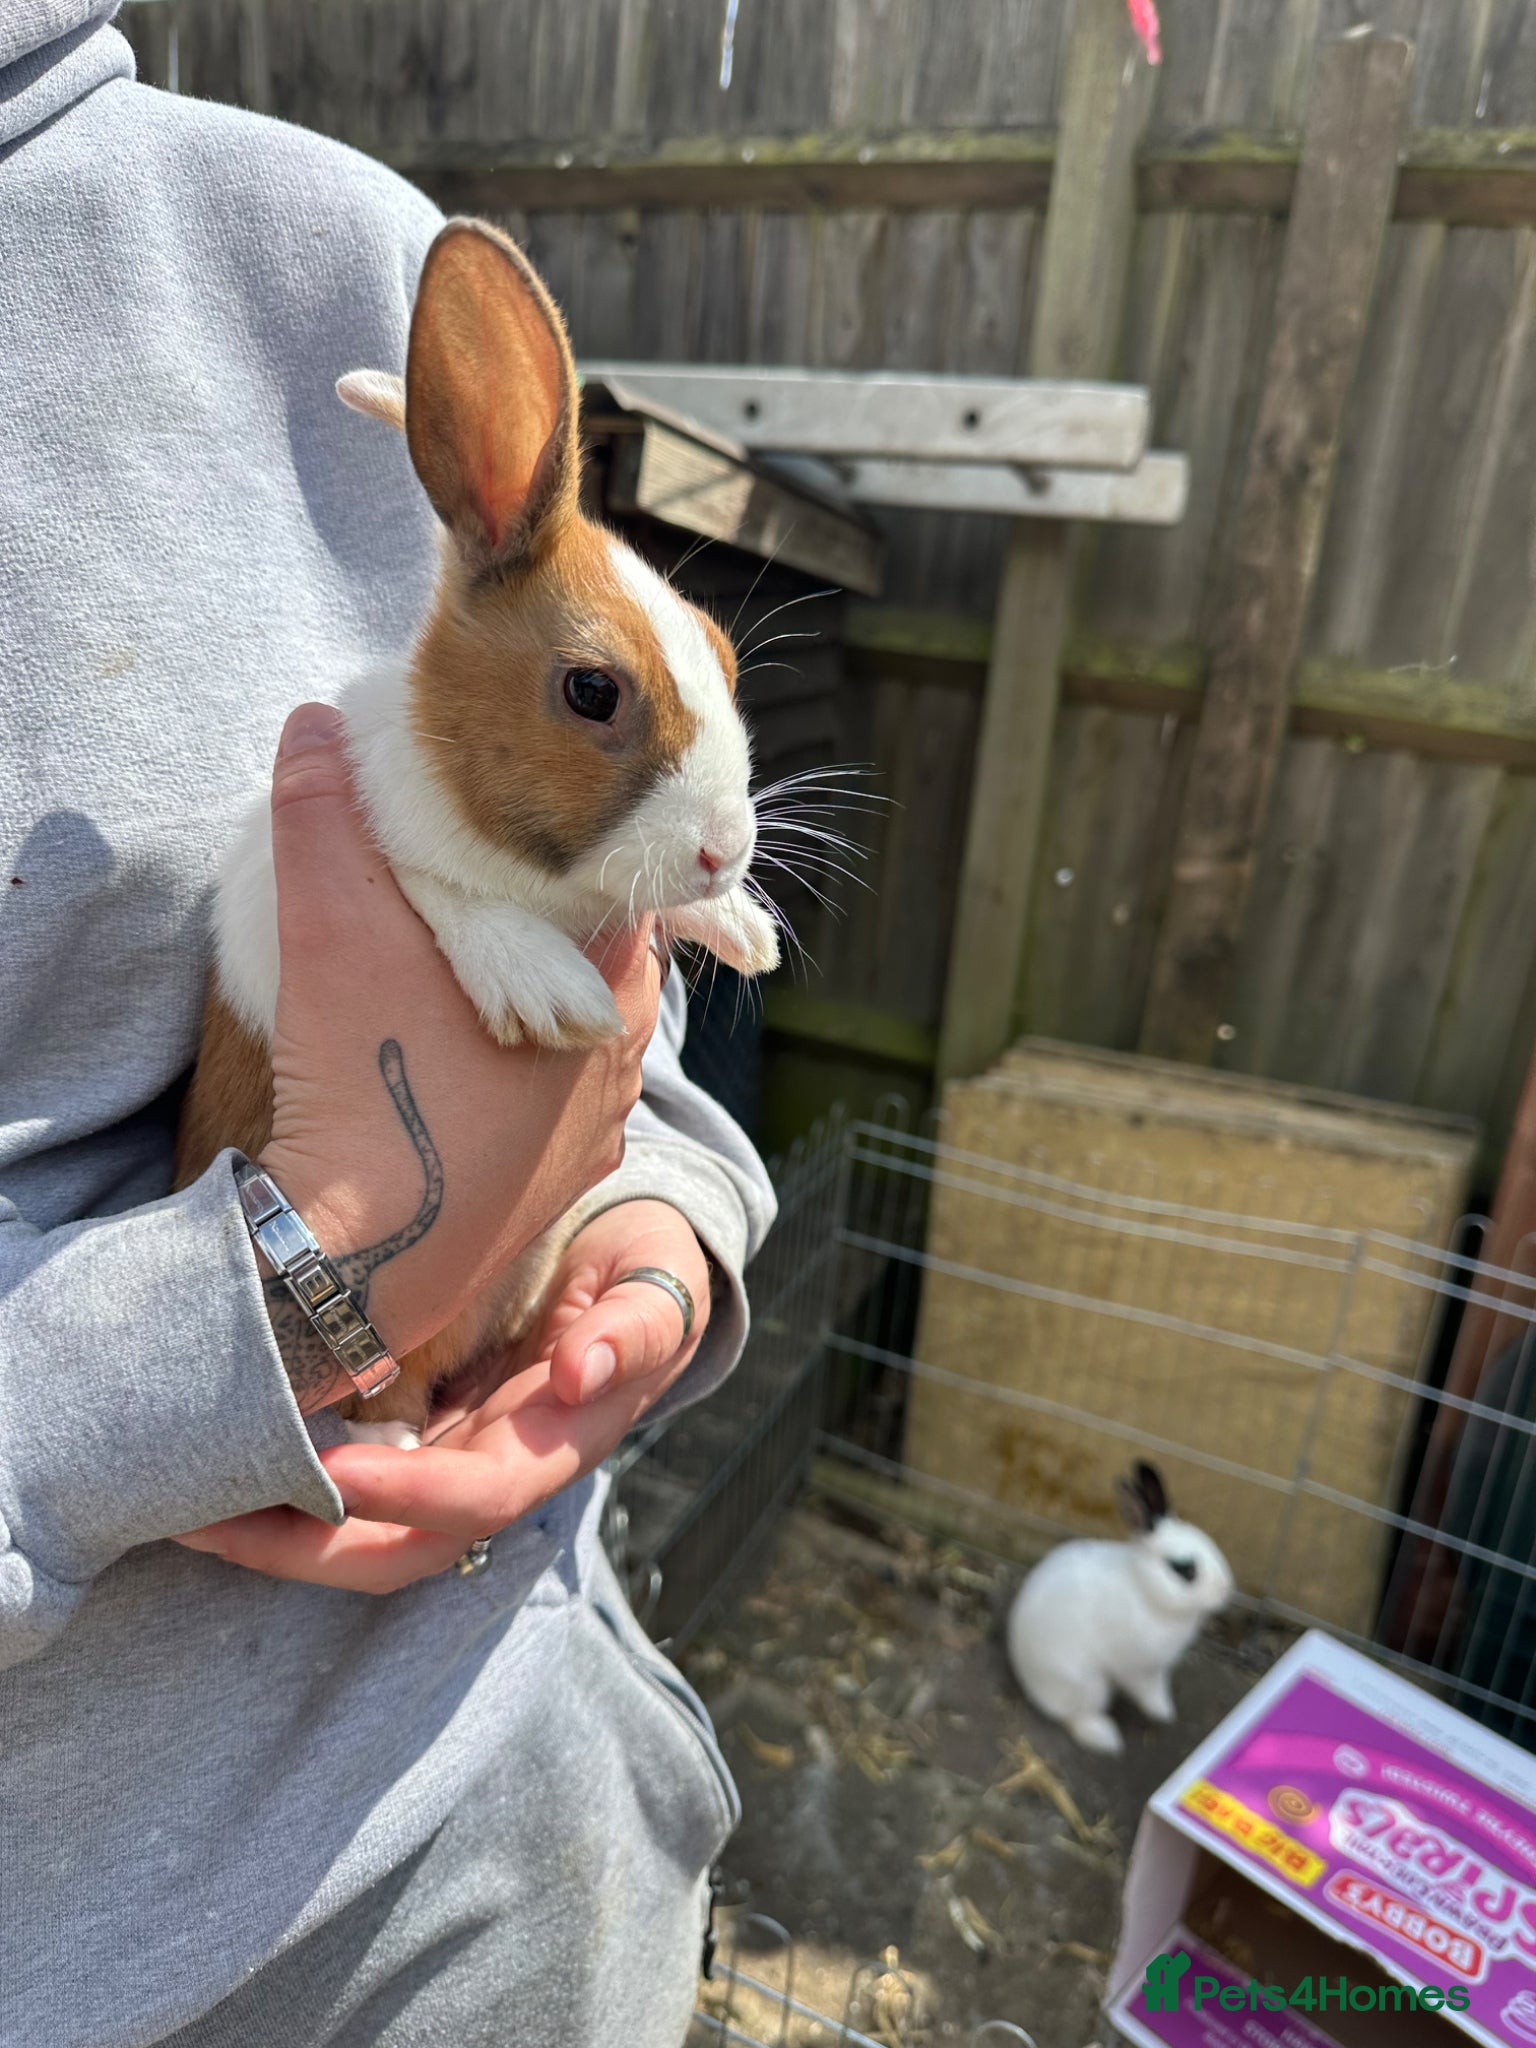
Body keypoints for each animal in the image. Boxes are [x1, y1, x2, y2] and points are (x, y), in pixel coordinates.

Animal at [173, 217, 781, 1446]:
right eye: (592, 690)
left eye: (719, 652)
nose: (724, 848)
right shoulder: (349, 854)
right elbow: (435, 887)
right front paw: (554, 991)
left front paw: (744, 928)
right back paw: (395, 1434)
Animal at [1006, 1461, 1234, 1755]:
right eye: (1183, 1569)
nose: (1226, 1590)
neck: (1145, 1591)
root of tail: (1025, 1675)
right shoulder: (1137, 1669)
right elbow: (1147, 1692)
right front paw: (1162, 1714)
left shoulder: (1157, 1668)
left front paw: (1167, 1711)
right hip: (1089, 1686)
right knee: (1074, 1716)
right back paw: (1107, 1739)